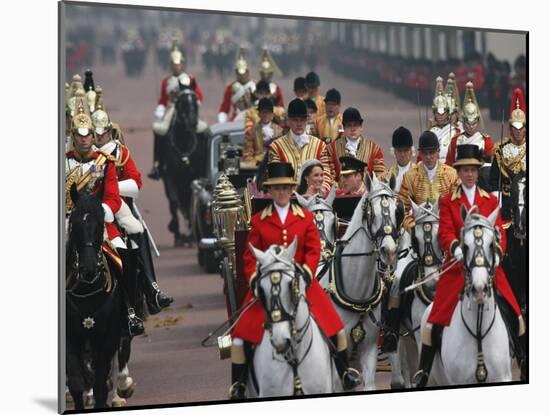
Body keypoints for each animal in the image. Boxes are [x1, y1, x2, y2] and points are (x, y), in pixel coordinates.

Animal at [66, 188, 122, 410]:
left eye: (100, 225)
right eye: (74, 225)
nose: (88, 269)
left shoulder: (106, 338)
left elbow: (99, 386)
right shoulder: (71, 339)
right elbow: (76, 382)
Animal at [162, 85, 209, 247]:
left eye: (195, 102)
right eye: (181, 103)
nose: (193, 123)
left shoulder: (192, 178)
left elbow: (189, 203)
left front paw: (189, 235)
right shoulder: (170, 177)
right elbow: (174, 202)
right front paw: (176, 233)